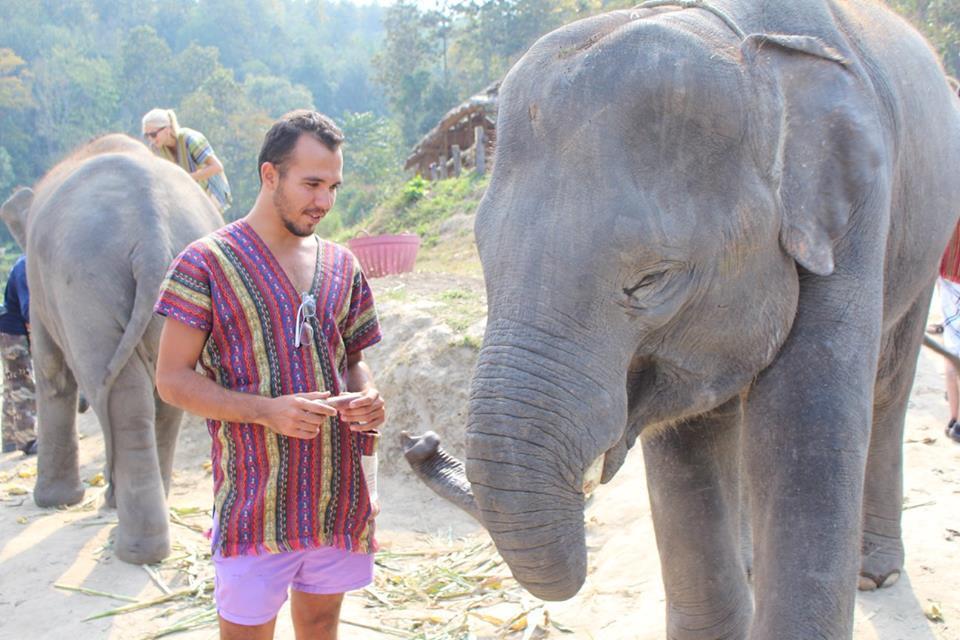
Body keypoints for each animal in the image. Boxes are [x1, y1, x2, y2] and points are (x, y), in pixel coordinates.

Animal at [0, 134, 221, 560]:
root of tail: (152, 235)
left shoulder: (40, 288)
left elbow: (51, 373)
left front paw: (54, 502)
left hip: (85, 285)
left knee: (124, 397)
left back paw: (133, 547)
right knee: (163, 395)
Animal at [404, 1, 960, 640]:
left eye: (652, 280)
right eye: (482, 258)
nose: (419, 441)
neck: (739, 43)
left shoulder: (855, 219)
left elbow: (806, 439)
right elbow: (686, 463)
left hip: (926, 241)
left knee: (889, 386)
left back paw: (872, 574)